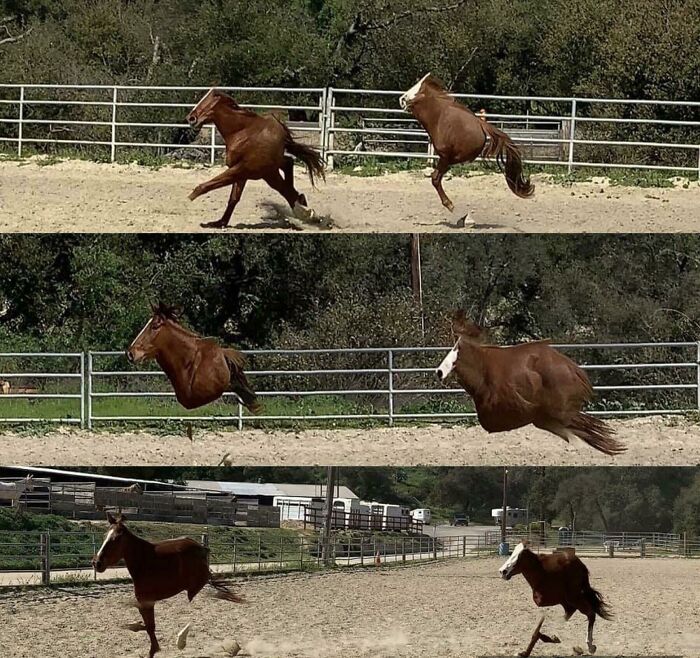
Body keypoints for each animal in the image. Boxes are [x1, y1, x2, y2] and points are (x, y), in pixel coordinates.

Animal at [92, 513, 243, 658]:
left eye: (116, 539)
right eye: (105, 536)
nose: (96, 563)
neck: (144, 562)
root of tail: (201, 547)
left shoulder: (148, 601)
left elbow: (150, 626)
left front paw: (153, 649)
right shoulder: (143, 601)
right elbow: (147, 625)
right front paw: (137, 629)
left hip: (195, 585)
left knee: (199, 599)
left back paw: (181, 640)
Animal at [186, 89, 325, 228]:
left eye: (211, 98)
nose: (191, 118)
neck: (240, 133)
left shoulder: (245, 169)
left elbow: (206, 186)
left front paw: (188, 199)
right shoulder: (241, 173)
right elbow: (233, 198)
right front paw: (219, 223)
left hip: (268, 173)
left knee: (286, 183)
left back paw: (304, 211)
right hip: (272, 169)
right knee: (288, 167)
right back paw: (302, 205)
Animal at [399, 73, 534, 218]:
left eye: (418, 91)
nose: (402, 99)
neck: (439, 118)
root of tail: (481, 124)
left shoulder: (445, 157)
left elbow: (435, 179)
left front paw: (450, 205)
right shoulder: (445, 158)